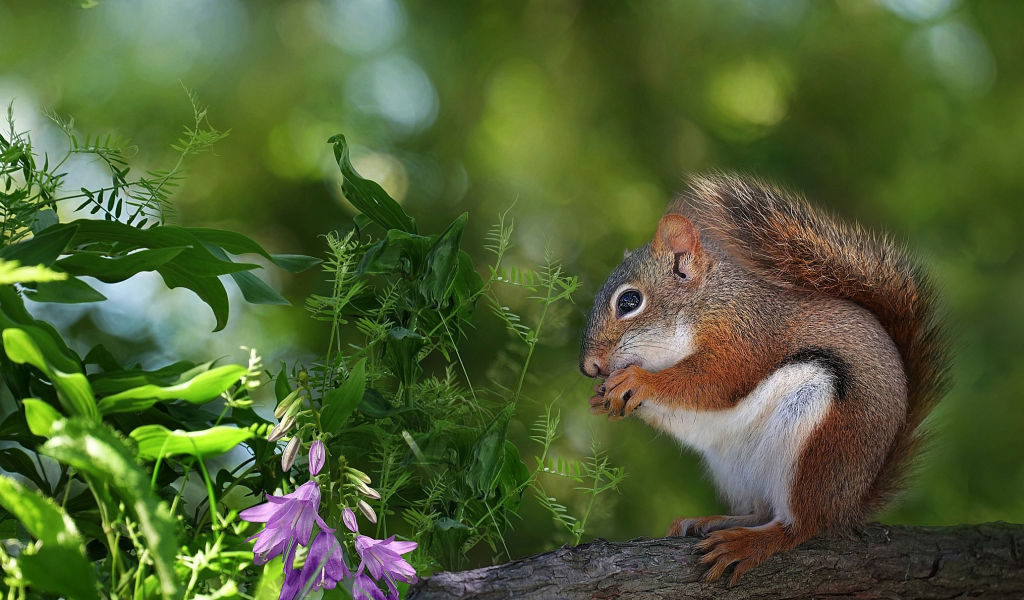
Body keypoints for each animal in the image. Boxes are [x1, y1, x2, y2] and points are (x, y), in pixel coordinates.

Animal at [581, 173, 946, 585]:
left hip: (819, 445)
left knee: (799, 524)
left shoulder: (745, 337)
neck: (705, 304)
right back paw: (712, 521)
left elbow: (716, 382)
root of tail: (848, 503)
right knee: (761, 510)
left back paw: (749, 543)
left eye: (629, 301)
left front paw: (639, 381)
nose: (589, 367)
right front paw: (601, 397)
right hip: (734, 467)